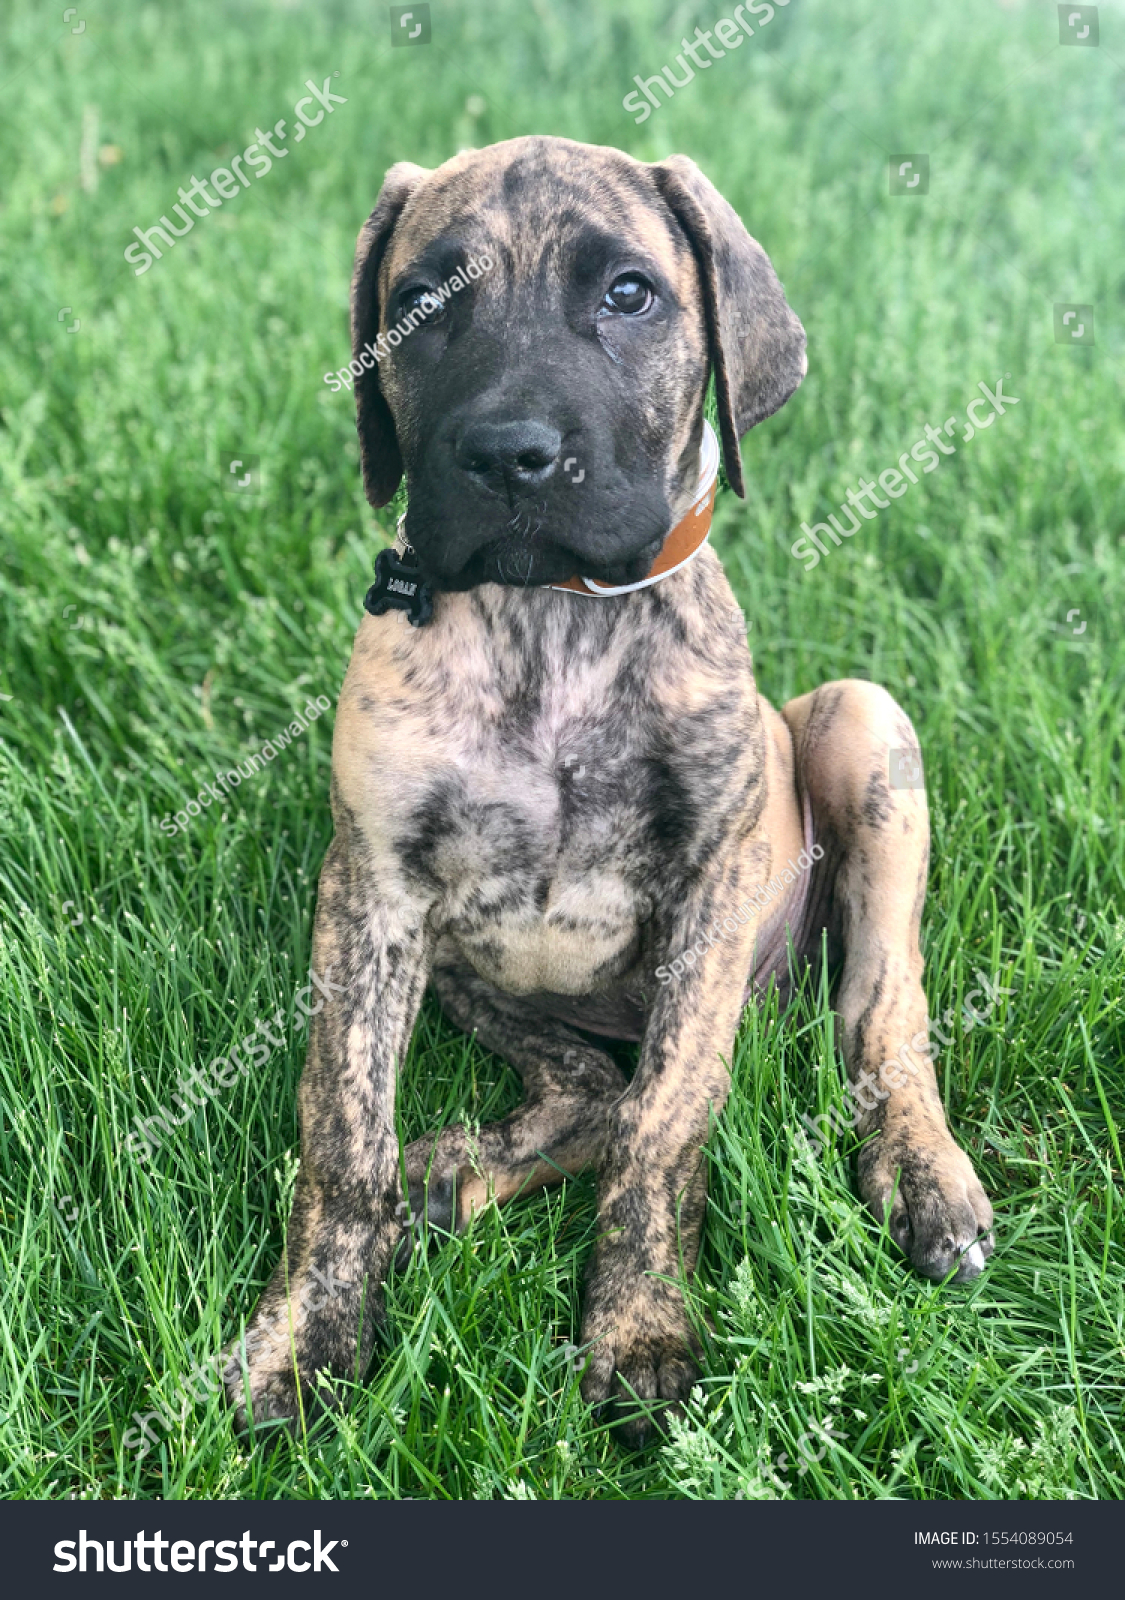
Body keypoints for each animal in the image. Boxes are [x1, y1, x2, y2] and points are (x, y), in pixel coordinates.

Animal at [227, 134, 992, 1452]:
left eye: (630, 294)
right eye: (420, 303)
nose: (508, 455)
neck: (550, 623)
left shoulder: (710, 891)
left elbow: (665, 1119)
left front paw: (636, 1334)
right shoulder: (372, 891)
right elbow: (343, 1130)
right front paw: (306, 1337)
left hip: (861, 723)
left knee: (874, 1013)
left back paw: (922, 1175)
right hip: (466, 964)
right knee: (584, 1082)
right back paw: (454, 1173)